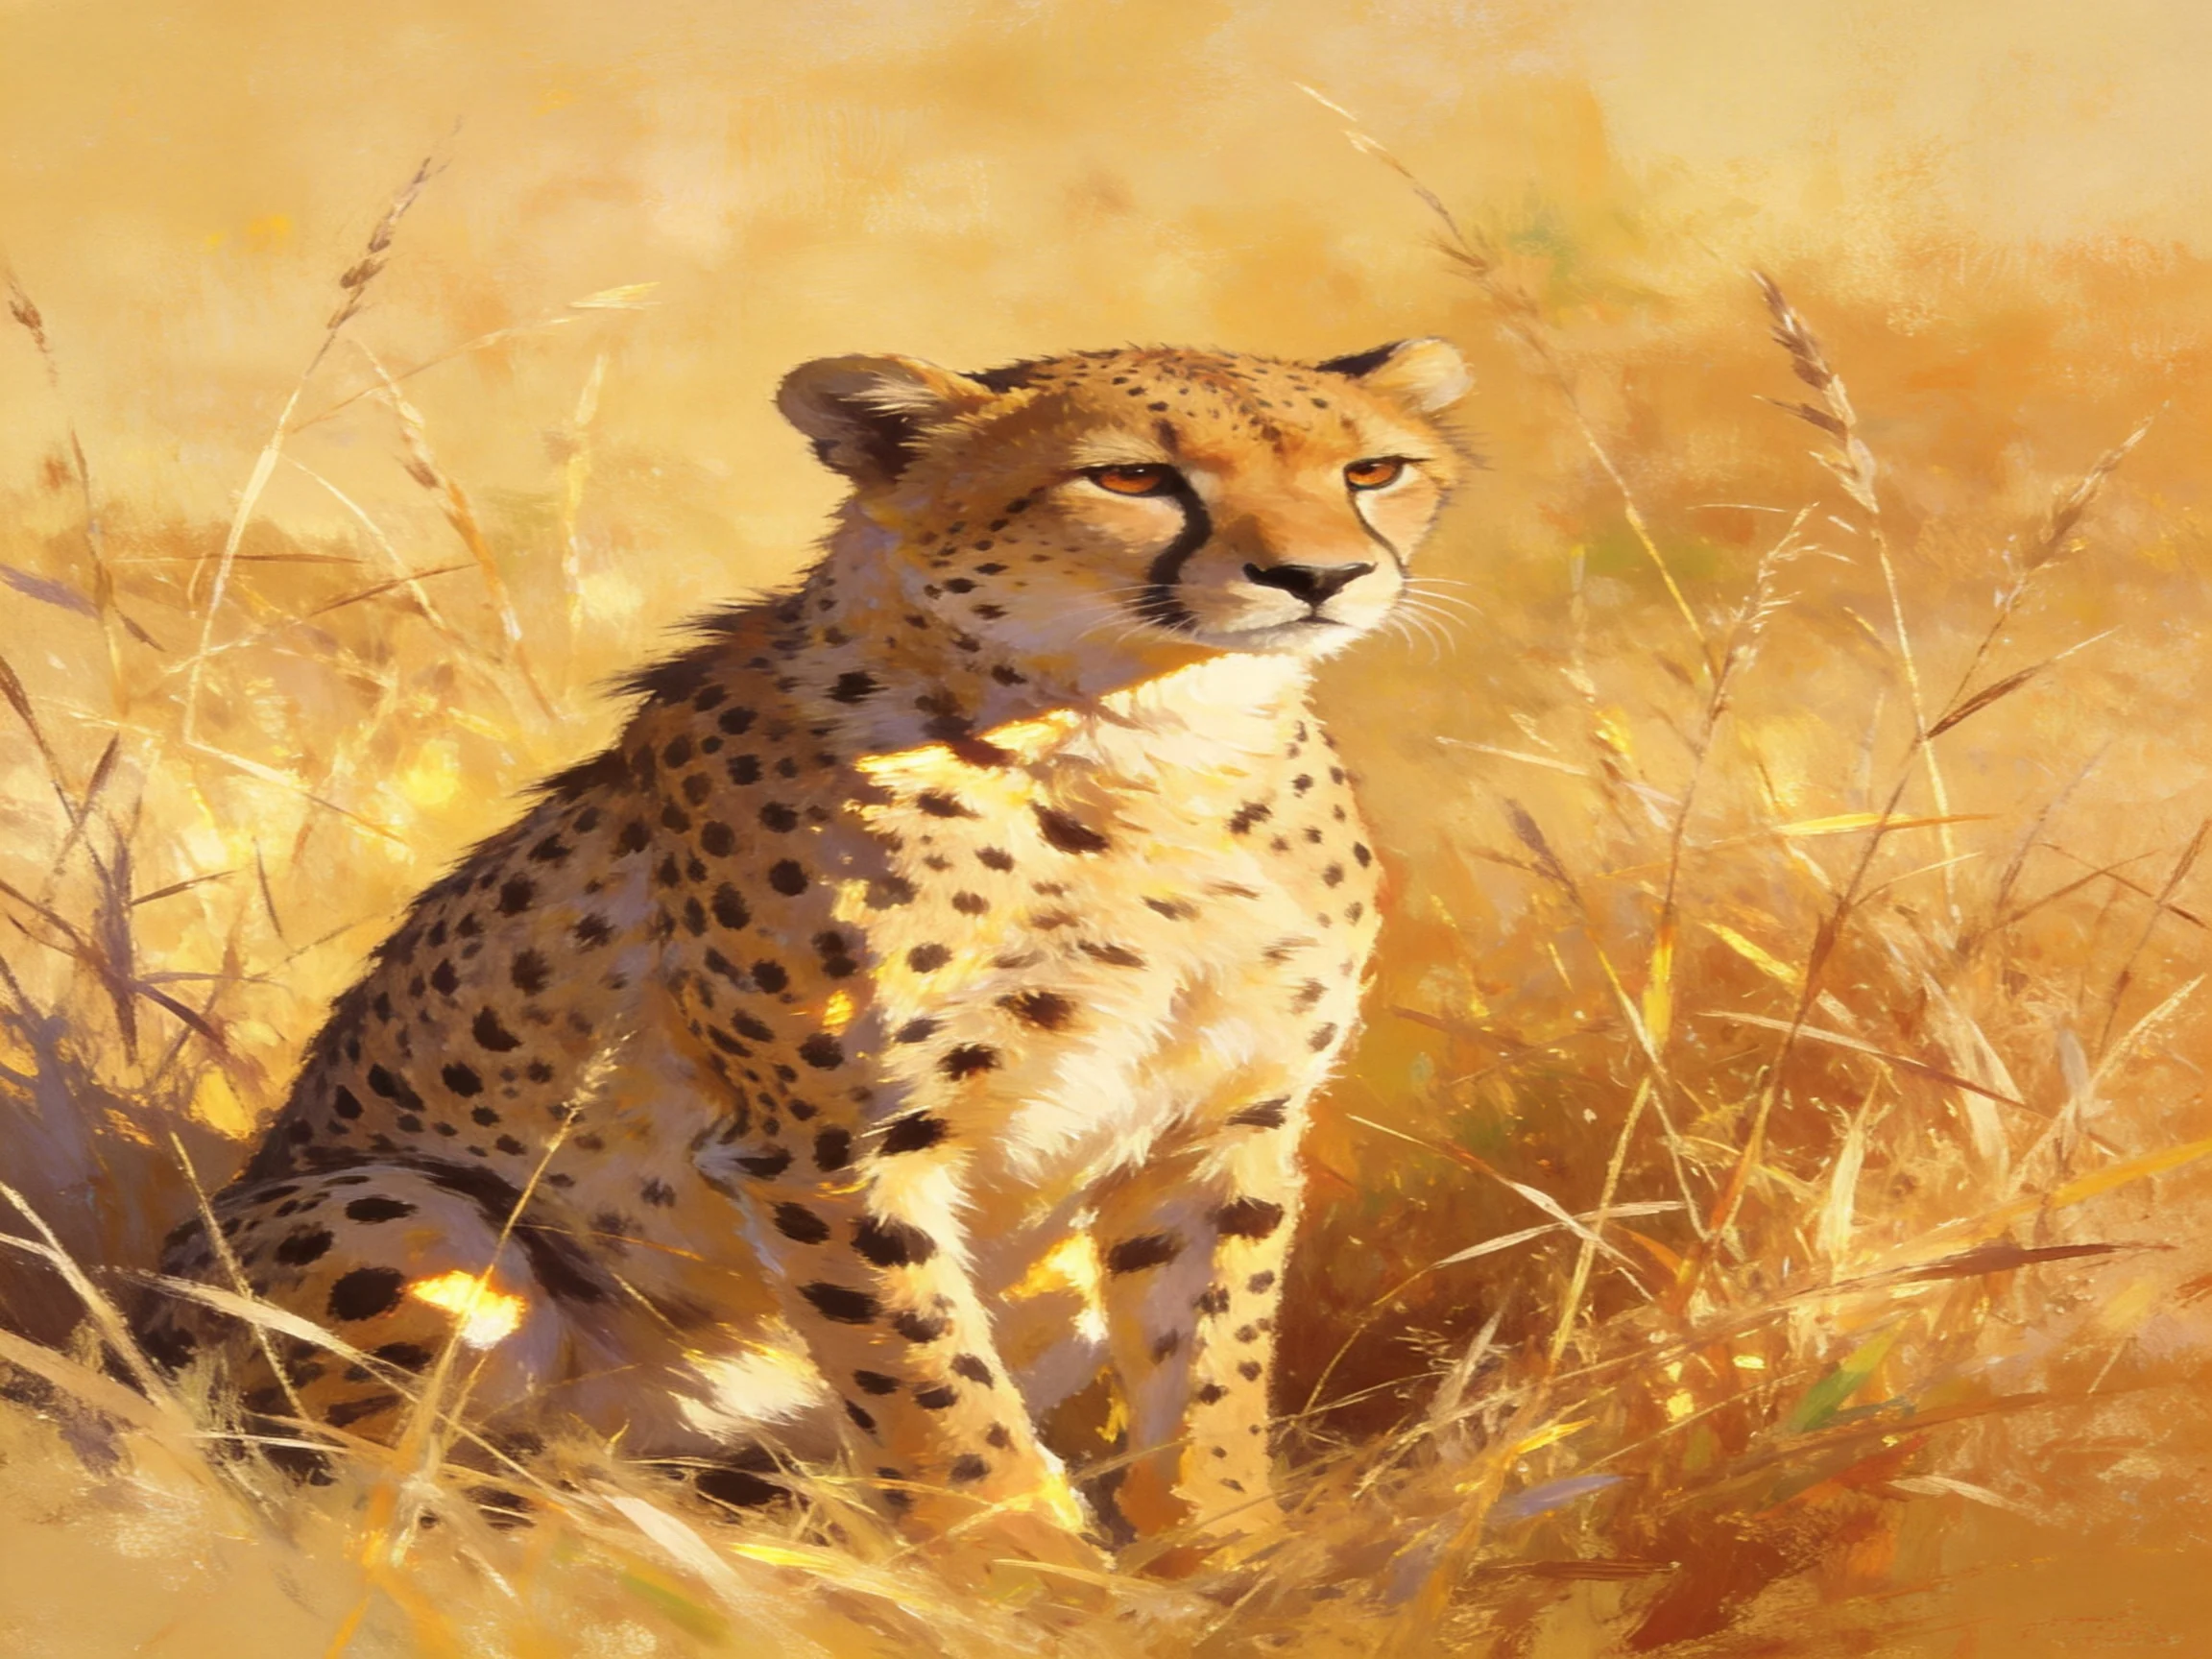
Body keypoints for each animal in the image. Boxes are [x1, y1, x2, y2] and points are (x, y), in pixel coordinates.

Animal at [137, 336, 1472, 1566]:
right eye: (1133, 475)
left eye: (1372, 469)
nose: (1320, 576)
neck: (1157, 738)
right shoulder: (835, 1146)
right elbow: (933, 1382)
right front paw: (1024, 1572)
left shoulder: (1225, 1123)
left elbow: (1209, 1370)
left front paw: (1228, 1552)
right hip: (400, 1215)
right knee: (386, 1490)